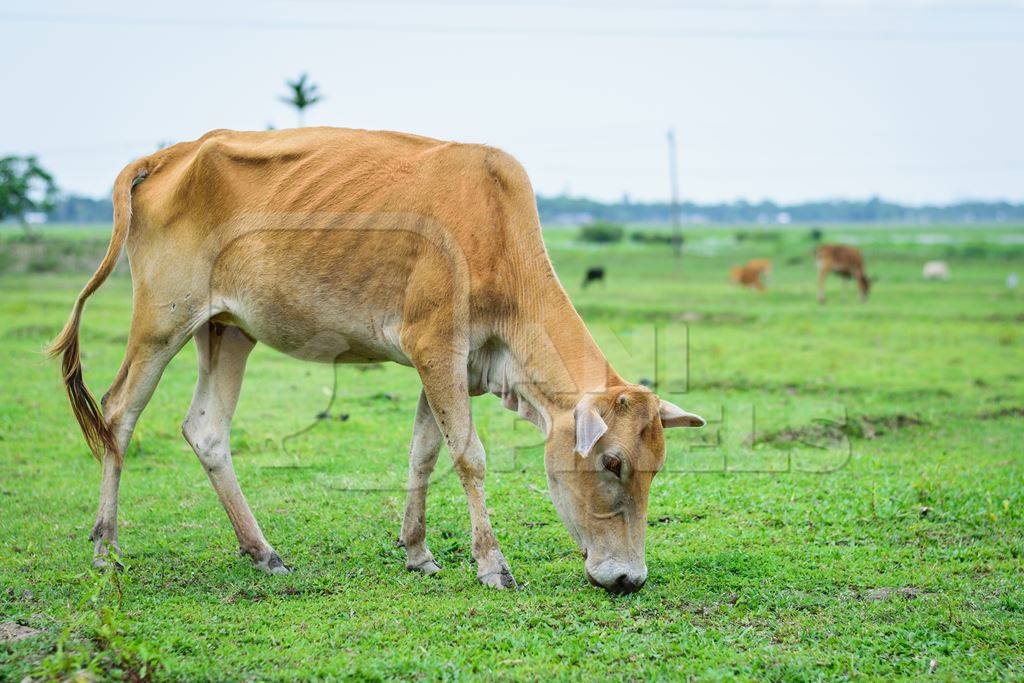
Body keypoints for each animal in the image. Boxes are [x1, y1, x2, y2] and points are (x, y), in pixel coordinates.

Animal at [48, 126, 704, 593]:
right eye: (613, 463)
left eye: (656, 467)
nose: (629, 578)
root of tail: (169, 155)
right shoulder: (435, 345)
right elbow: (470, 457)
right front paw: (491, 564)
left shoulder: (456, 367)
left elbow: (424, 453)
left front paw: (417, 552)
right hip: (163, 320)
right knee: (117, 415)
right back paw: (105, 547)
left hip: (227, 330)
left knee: (206, 431)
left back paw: (263, 552)